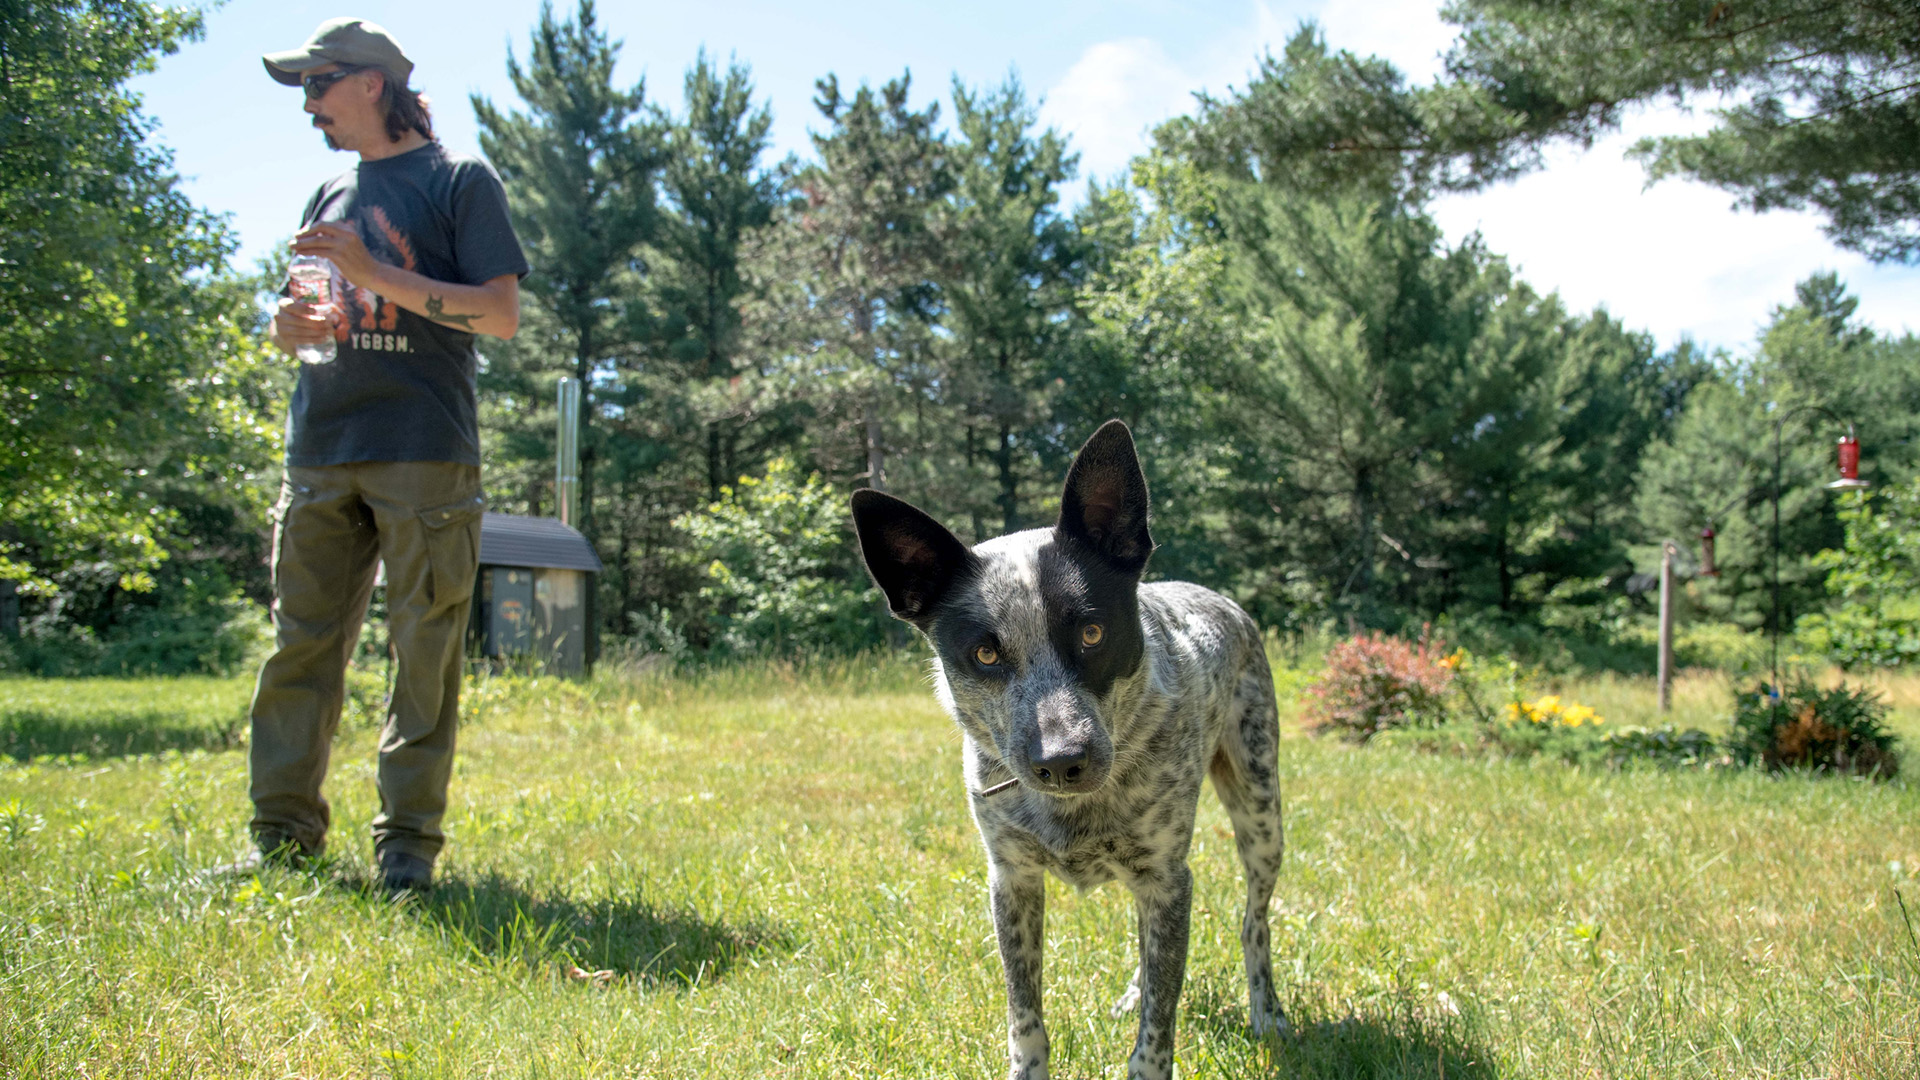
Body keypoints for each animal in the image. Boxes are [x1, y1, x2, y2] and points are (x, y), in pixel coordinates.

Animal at [848, 418, 1282, 1076]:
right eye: (985, 653)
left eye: (1092, 632)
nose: (1061, 762)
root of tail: (1219, 597)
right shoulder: (1012, 880)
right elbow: (1025, 1014)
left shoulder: (1166, 877)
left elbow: (1159, 1027)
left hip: (1261, 816)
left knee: (1252, 923)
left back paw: (1267, 1011)